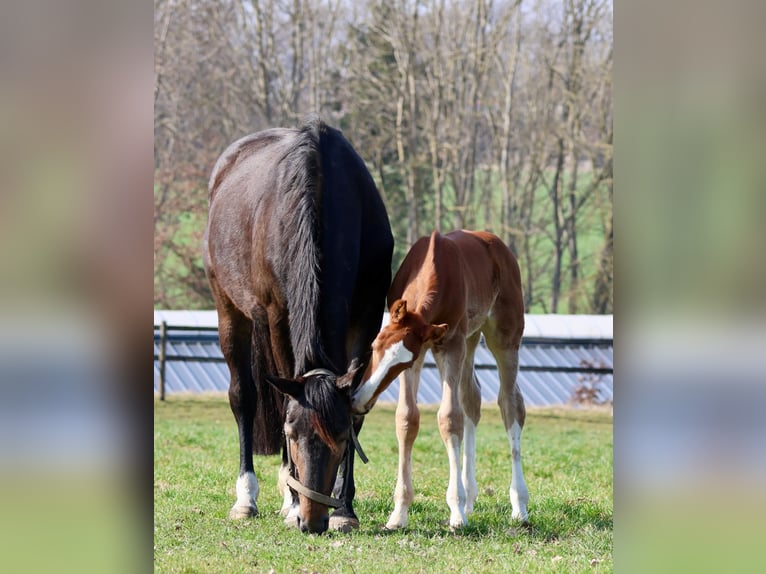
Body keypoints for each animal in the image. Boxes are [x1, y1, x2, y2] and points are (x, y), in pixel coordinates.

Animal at [203, 116, 393, 534]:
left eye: (340, 437)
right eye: (291, 434)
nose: (313, 520)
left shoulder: (368, 317)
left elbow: (357, 406)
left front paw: (345, 509)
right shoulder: (277, 316)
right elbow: (280, 398)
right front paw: (290, 502)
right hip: (231, 311)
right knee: (244, 397)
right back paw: (248, 498)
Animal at [348, 230, 529, 529]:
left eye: (401, 362)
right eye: (375, 345)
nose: (359, 400)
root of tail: (496, 243)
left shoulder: (449, 344)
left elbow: (449, 418)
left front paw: (456, 511)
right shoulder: (425, 349)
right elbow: (407, 419)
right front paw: (399, 513)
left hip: (503, 337)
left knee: (510, 405)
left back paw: (519, 505)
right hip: (471, 337)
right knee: (472, 399)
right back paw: (470, 498)